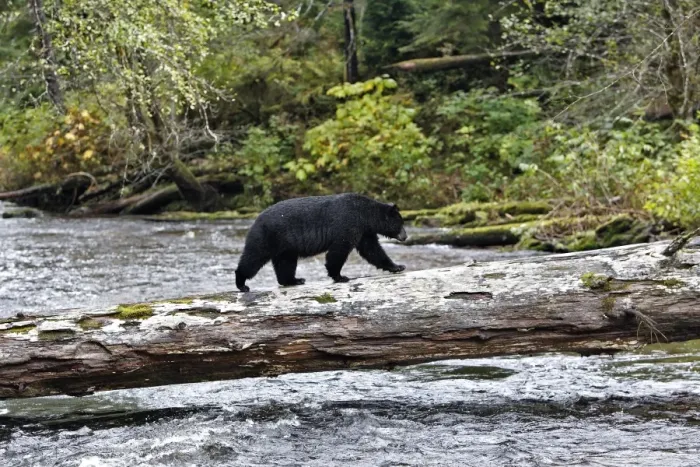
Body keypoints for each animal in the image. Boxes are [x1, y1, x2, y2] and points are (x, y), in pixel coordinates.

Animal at [235, 193, 408, 292]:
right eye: (401, 223)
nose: (405, 236)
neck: (365, 214)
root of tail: (256, 219)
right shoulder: (348, 223)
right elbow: (339, 249)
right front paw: (340, 276)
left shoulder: (364, 231)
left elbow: (372, 250)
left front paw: (397, 266)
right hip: (267, 236)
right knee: (254, 257)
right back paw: (242, 283)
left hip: (285, 246)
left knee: (286, 263)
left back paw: (294, 280)